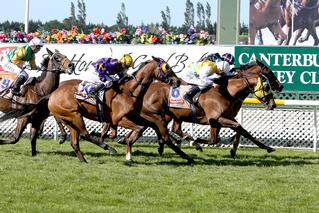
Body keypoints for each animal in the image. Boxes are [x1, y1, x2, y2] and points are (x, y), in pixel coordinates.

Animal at [47, 56, 189, 163]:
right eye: (167, 67)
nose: (177, 81)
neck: (130, 91)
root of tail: (53, 93)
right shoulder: (119, 119)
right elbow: (137, 130)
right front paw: (128, 151)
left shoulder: (135, 116)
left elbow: (123, 131)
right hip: (75, 115)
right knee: (84, 134)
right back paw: (109, 148)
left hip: (69, 119)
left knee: (75, 142)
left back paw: (84, 160)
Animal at [114, 59, 282, 161]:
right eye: (268, 74)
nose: (273, 104)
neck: (227, 92)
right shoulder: (217, 119)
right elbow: (239, 129)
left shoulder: (219, 120)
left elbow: (231, 134)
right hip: (159, 115)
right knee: (151, 129)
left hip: (172, 116)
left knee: (170, 129)